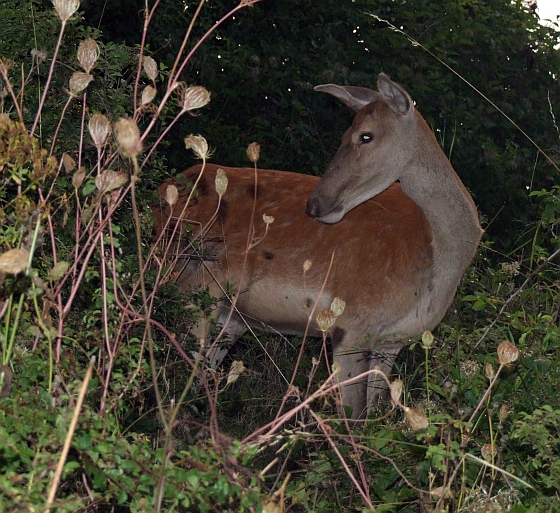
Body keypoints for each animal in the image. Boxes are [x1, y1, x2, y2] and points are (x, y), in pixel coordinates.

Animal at [153, 73, 482, 416]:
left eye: (365, 136)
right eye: (345, 132)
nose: (314, 205)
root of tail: (159, 193)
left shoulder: (391, 342)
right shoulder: (353, 324)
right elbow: (353, 418)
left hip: (228, 317)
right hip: (189, 286)